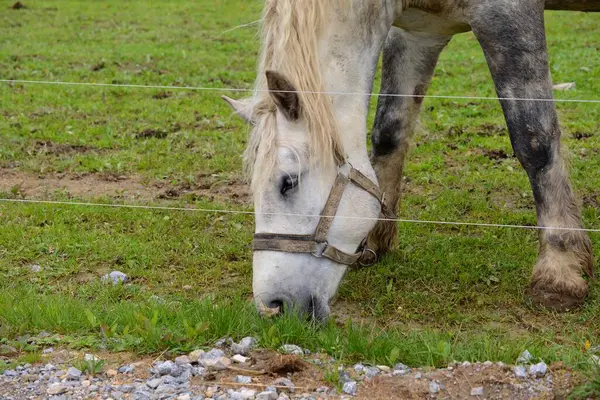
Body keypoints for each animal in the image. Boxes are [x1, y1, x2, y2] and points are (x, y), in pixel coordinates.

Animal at [224, 0, 596, 318]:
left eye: (288, 182)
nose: (272, 306)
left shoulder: (510, 17)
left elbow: (534, 140)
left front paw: (559, 271)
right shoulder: (418, 33)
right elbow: (389, 133)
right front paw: (375, 242)